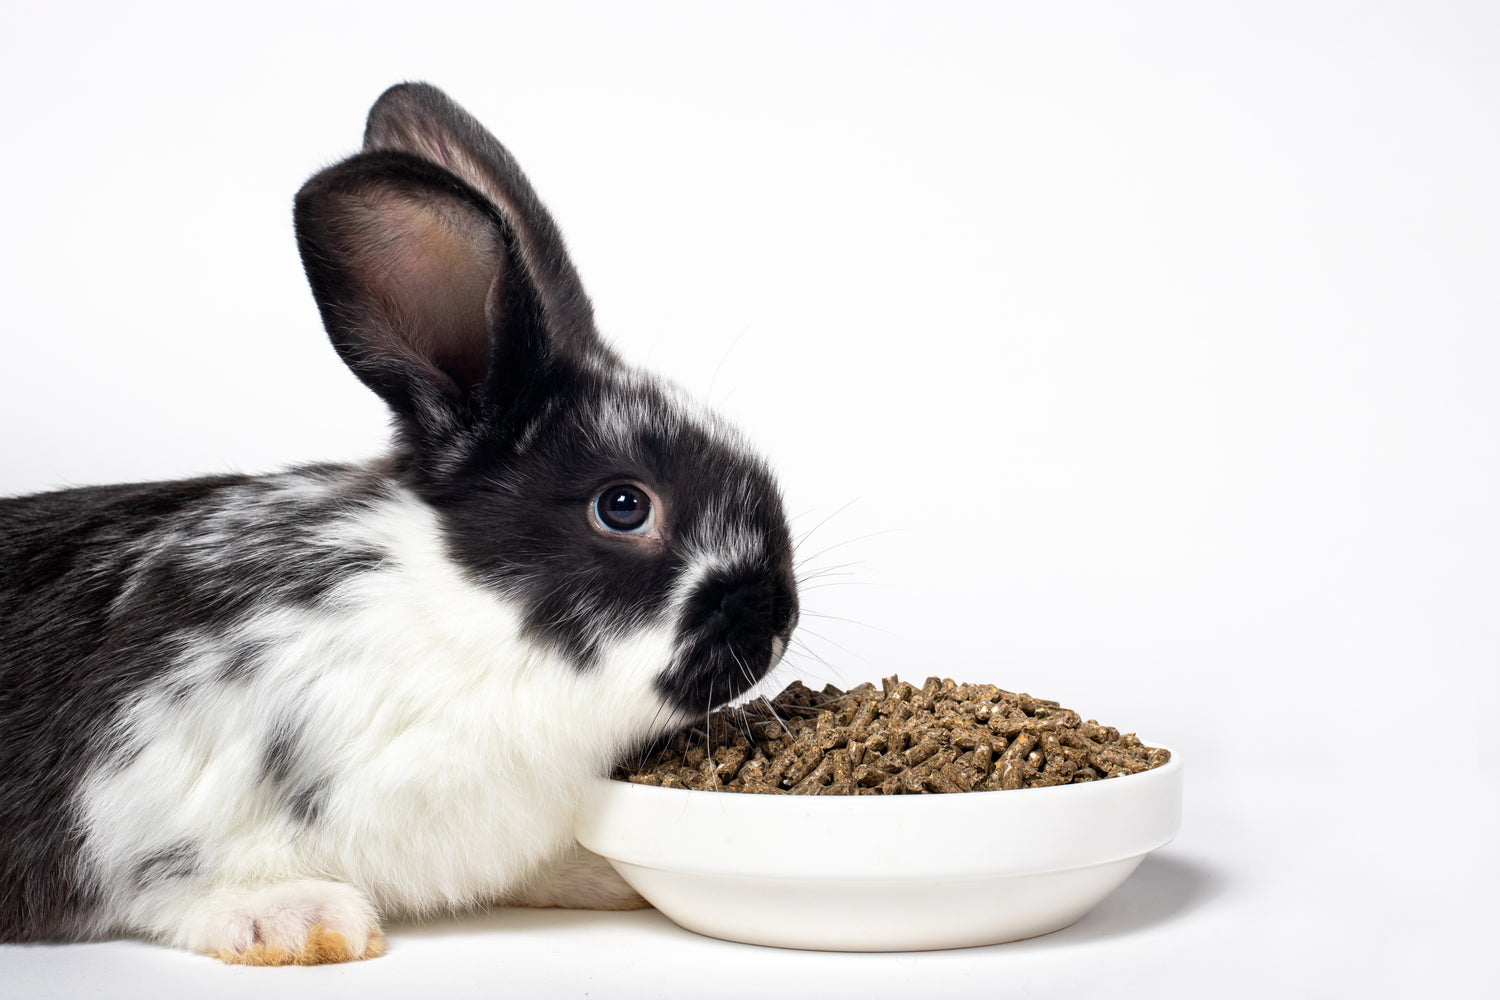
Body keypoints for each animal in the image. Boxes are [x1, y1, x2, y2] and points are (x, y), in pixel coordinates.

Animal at [0, 82, 799, 964]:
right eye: (624, 506)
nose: (778, 619)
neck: (470, 626)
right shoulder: (144, 780)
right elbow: (179, 883)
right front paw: (297, 920)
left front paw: (606, 877)